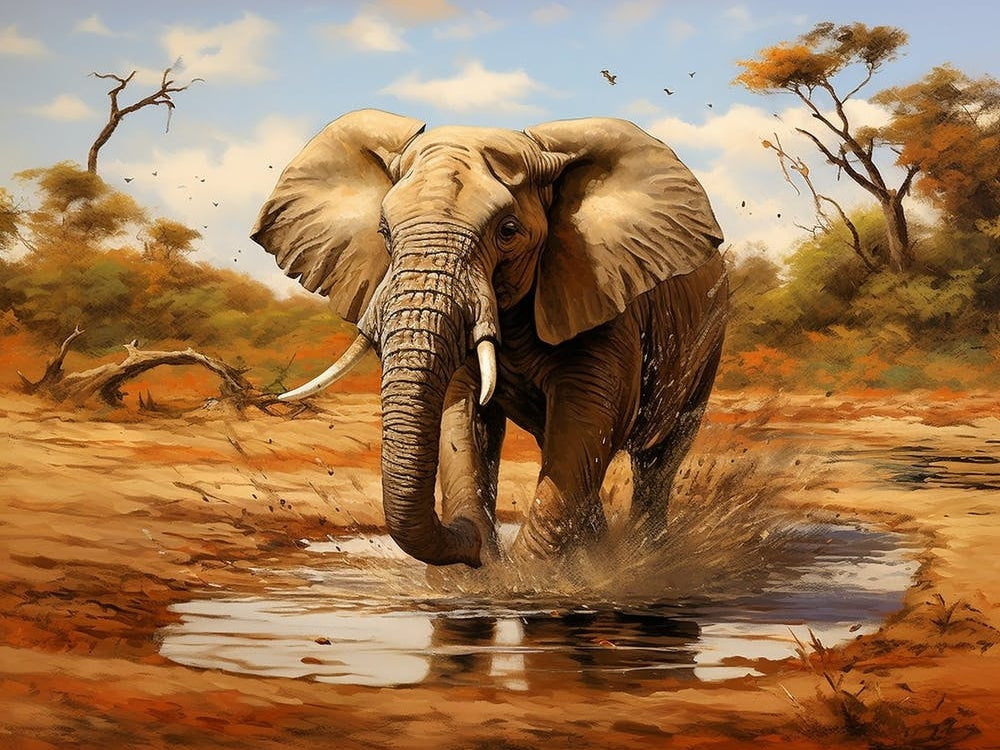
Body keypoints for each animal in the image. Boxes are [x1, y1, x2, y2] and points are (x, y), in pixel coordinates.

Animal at [251, 109, 728, 568]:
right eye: (384, 232)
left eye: (508, 231)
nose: (476, 550)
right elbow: (462, 415)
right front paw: (475, 581)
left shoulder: (600, 289)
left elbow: (588, 417)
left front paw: (533, 580)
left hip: (709, 339)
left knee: (657, 459)